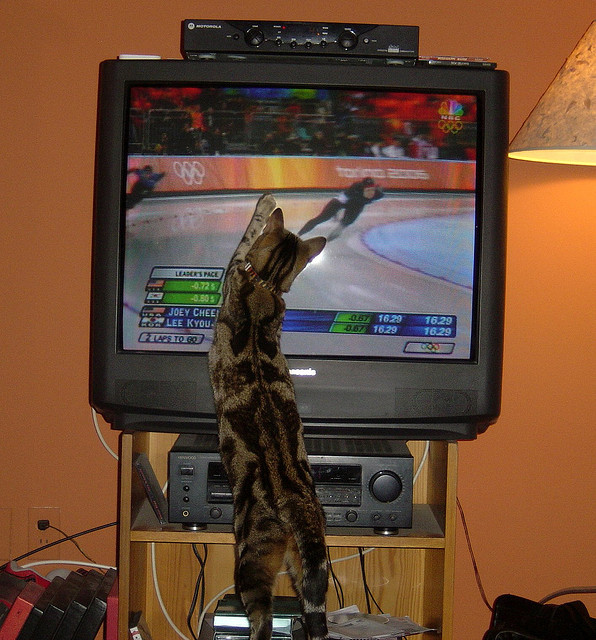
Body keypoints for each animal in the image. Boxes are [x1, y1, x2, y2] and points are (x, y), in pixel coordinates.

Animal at [209, 194, 328, 640]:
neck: (266, 286)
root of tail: (296, 502)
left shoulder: (232, 268)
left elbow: (247, 235)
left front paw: (265, 201)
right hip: (309, 561)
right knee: (313, 608)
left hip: (249, 560)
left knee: (261, 618)